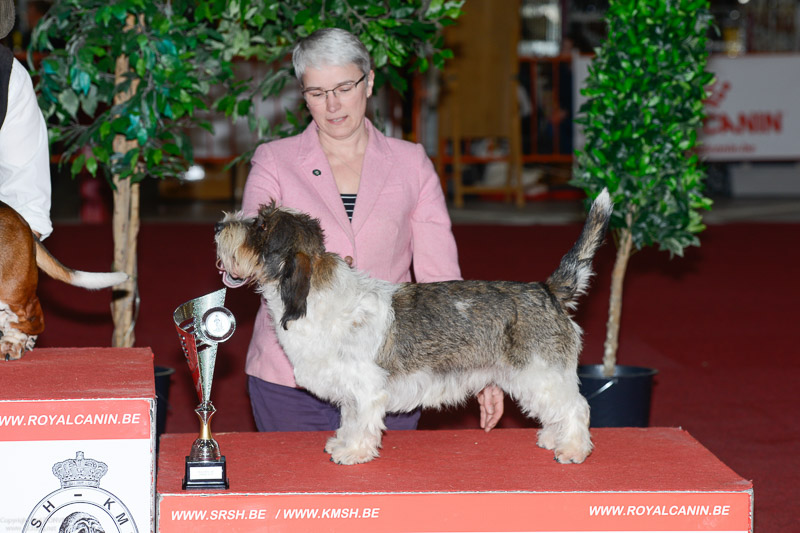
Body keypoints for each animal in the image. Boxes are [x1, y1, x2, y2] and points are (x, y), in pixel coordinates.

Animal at [214, 189, 612, 464]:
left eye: (262, 225)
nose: (219, 225)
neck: (316, 296)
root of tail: (546, 289)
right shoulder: (349, 391)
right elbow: (349, 418)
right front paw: (342, 442)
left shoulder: (366, 389)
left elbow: (363, 421)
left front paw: (353, 452)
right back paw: (554, 439)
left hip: (542, 373)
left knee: (577, 407)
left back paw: (573, 449)